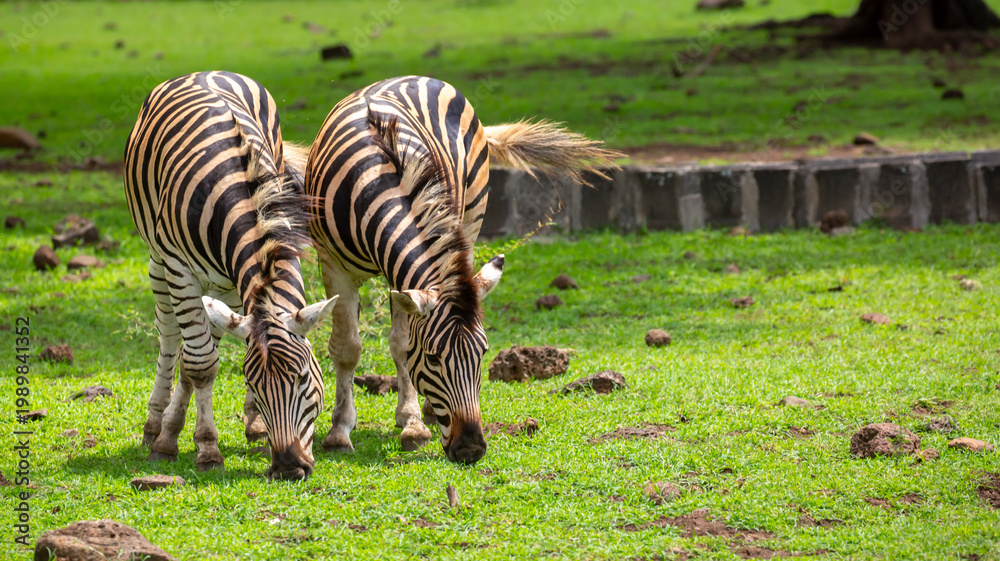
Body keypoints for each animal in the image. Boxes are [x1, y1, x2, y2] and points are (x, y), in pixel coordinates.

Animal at [124, 71, 337, 480]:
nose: (288, 468)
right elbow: (201, 365)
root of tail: (203, 72)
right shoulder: (180, 269)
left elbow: (201, 361)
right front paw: (204, 448)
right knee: (171, 338)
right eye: (251, 381)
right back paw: (156, 426)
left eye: (304, 377)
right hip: (160, 264)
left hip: (223, 288)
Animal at [306, 76, 619, 463]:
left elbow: (402, 344)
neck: (376, 183)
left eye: (483, 354)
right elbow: (347, 348)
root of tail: (414, 77)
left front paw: (412, 423)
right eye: (433, 358)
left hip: (466, 220)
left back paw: (418, 413)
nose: (470, 449)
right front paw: (339, 431)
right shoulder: (334, 265)